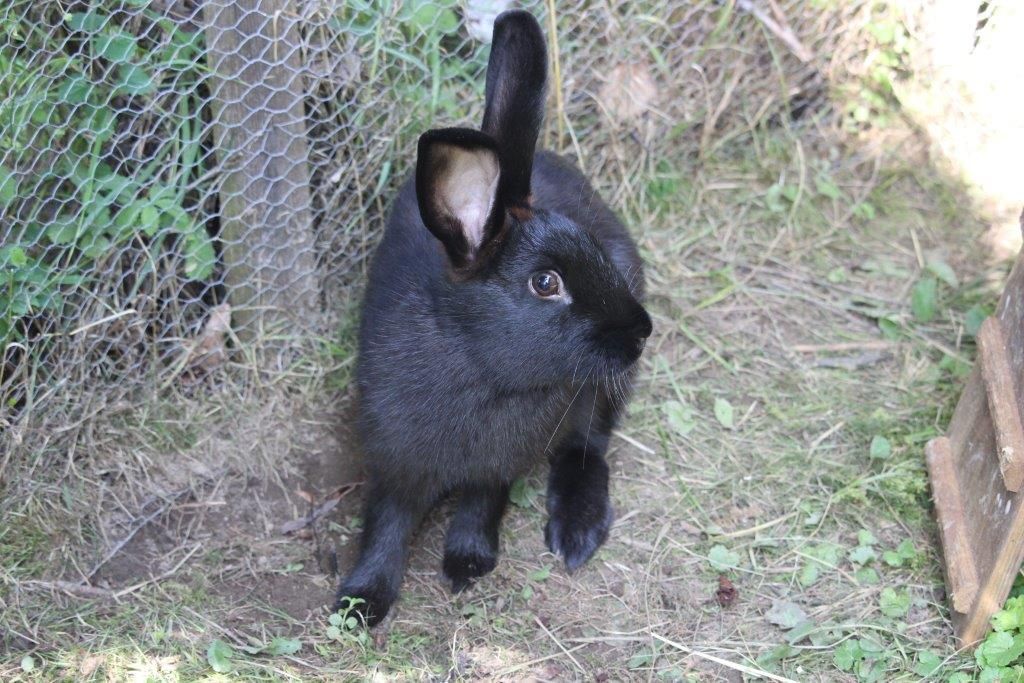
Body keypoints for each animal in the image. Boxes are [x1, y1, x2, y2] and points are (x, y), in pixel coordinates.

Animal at [334, 9, 652, 627]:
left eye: (592, 249)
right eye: (545, 283)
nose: (641, 331)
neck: (481, 371)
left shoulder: (496, 468)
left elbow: (483, 502)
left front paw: (467, 562)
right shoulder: (392, 459)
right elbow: (386, 522)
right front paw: (360, 602)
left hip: (600, 392)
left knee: (589, 446)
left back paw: (576, 532)